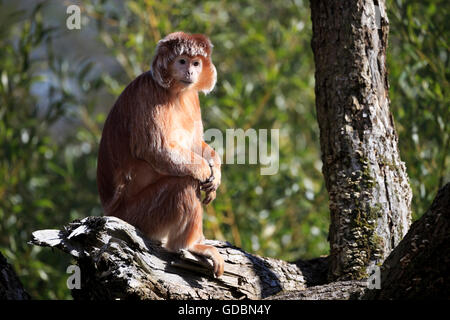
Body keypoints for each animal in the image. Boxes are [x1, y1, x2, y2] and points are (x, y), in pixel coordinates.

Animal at [98, 33, 225, 278]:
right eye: (182, 61)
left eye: (196, 63)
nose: (190, 72)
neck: (175, 91)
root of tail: (109, 211)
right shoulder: (148, 92)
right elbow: (156, 149)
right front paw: (204, 169)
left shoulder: (192, 97)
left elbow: (195, 144)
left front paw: (216, 172)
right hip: (139, 216)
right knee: (185, 183)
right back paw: (189, 246)